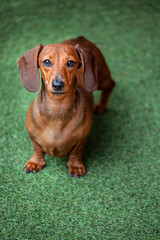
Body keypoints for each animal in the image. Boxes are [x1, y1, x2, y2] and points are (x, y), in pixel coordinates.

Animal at [16, 36, 115, 177]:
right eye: (46, 62)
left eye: (70, 63)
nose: (58, 85)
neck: (57, 109)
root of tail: (81, 38)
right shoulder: (33, 137)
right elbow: (37, 149)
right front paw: (35, 162)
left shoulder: (81, 140)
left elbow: (76, 152)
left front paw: (75, 166)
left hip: (100, 79)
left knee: (111, 85)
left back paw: (101, 106)